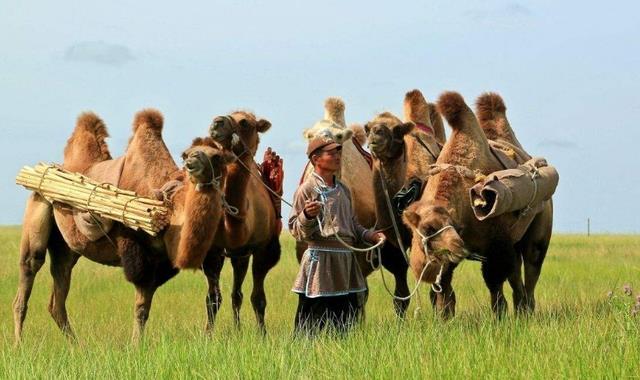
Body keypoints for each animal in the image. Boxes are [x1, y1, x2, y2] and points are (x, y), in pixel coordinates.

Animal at [13, 110, 232, 344]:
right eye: (186, 154)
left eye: (217, 157)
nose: (193, 162)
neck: (170, 211)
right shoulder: (139, 255)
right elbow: (141, 308)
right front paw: (136, 346)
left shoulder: (169, 261)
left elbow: (204, 299)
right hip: (38, 205)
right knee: (29, 269)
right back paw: (19, 345)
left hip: (66, 247)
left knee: (58, 293)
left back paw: (77, 346)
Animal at [208, 110, 282, 332]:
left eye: (245, 123)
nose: (217, 122)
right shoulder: (214, 251)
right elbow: (213, 299)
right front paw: (207, 334)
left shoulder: (262, 250)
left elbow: (258, 298)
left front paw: (262, 334)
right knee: (234, 294)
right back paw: (237, 329)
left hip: (242, 255)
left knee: (238, 294)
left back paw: (238, 329)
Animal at [402, 92, 552, 318]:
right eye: (427, 229)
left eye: (453, 226)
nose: (458, 245)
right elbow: (443, 287)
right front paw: (444, 318)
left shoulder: (496, 243)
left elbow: (494, 281)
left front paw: (499, 316)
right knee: (517, 275)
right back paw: (521, 309)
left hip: (539, 225)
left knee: (531, 266)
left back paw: (526, 312)